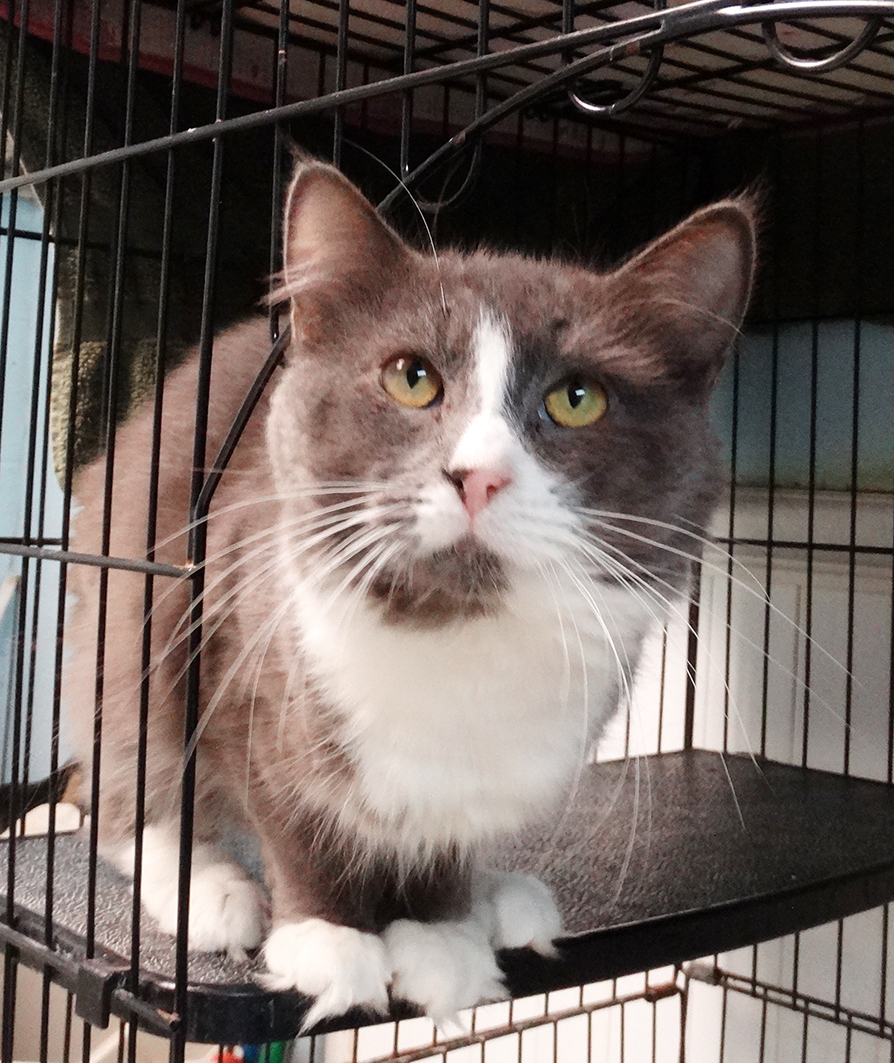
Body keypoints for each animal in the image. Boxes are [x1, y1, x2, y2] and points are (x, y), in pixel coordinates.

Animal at [66, 159, 756, 1028]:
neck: (456, 633)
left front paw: (442, 936)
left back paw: (500, 899)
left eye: (578, 397)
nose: (477, 475)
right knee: (123, 787)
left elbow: (446, 845)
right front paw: (327, 939)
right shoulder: (244, 648)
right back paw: (210, 888)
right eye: (411, 378)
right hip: (129, 621)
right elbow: (293, 813)